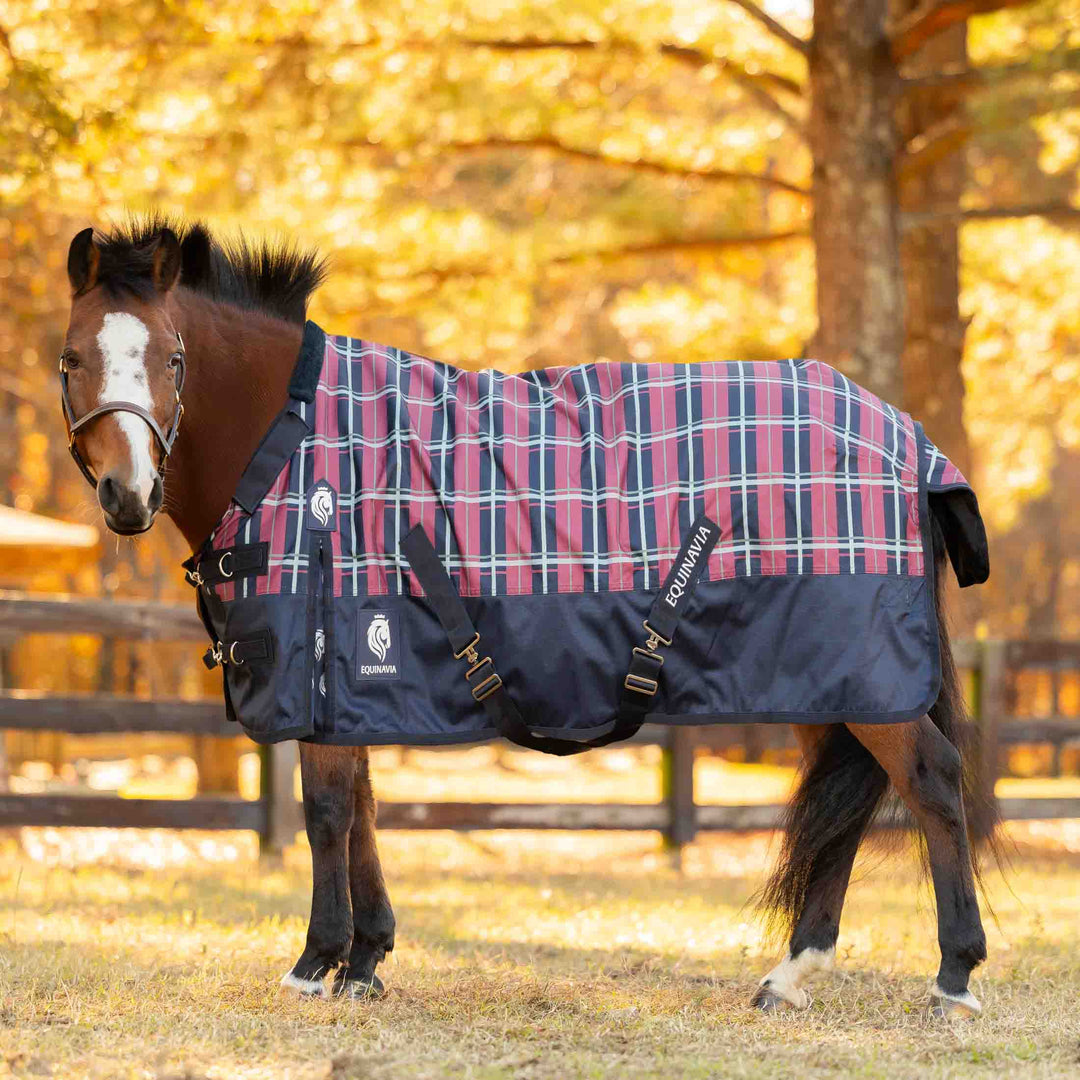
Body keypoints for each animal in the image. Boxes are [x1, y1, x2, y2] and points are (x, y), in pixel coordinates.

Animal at [57, 217, 998, 1018]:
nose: (129, 496)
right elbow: (362, 807)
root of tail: (908, 439)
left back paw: (954, 978)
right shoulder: (356, 672)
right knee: (850, 807)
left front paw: (316, 964)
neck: (294, 439)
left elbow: (326, 810)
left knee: (932, 780)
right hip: (822, 676)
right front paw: (366, 961)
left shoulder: (325, 658)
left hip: (865, 673)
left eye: (174, 359)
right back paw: (792, 975)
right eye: (71, 360)